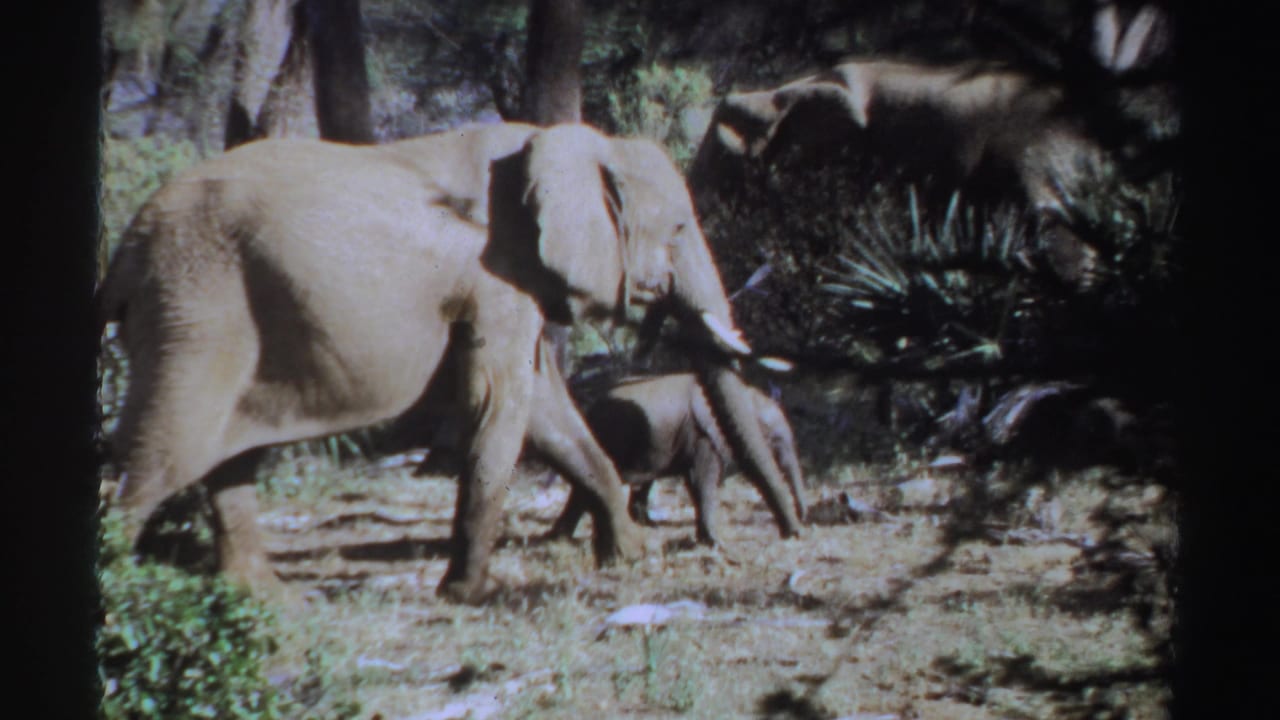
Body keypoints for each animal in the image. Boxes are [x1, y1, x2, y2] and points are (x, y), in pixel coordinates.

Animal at [547, 373, 807, 548]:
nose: (800, 527)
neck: (747, 394)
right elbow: (701, 481)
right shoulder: (702, 435)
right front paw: (715, 544)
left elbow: (696, 481)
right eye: (775, 440)